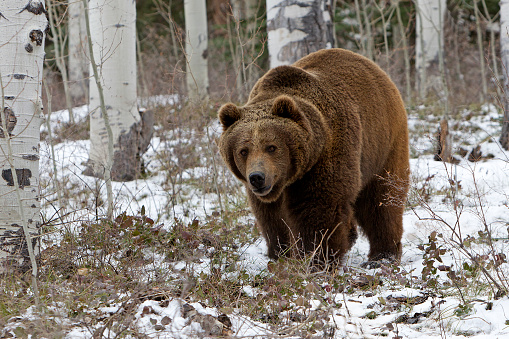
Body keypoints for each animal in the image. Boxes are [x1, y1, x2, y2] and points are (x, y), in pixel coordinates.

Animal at [218, 48, 408, 266]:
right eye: (243, 150)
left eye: (272, 147)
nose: (257, 177)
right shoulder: (269, 190)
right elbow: (272, 217)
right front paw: (282, 254)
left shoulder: (327, 153)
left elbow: (319, 207)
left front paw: (317, 259)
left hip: (383, 143)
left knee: (382, 199)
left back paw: (383, 255)